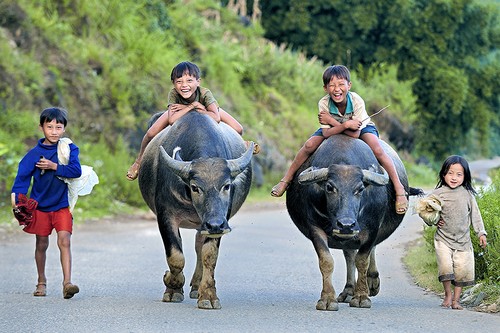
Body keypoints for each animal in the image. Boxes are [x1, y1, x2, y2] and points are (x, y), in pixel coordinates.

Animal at [139, 111, 252, 308]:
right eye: (195, 187)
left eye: (226, 185)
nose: (215, 224)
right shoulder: (165, 215)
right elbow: (176, 257)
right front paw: (172, 287)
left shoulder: (220, 221)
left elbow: (209, 255)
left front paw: (208, 295)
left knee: (199, 247)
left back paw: (197, 286)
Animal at [286, 134, 422, 310]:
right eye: (329, 187)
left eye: (360, 189)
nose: (346, 225)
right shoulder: (315, 228)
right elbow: (326, 261)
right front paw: (327, 299)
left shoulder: (372, 229)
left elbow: (363, 260)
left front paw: (362, 296)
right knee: (349, 254)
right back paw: (349, 290)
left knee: (367, 252)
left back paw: (371, 282)